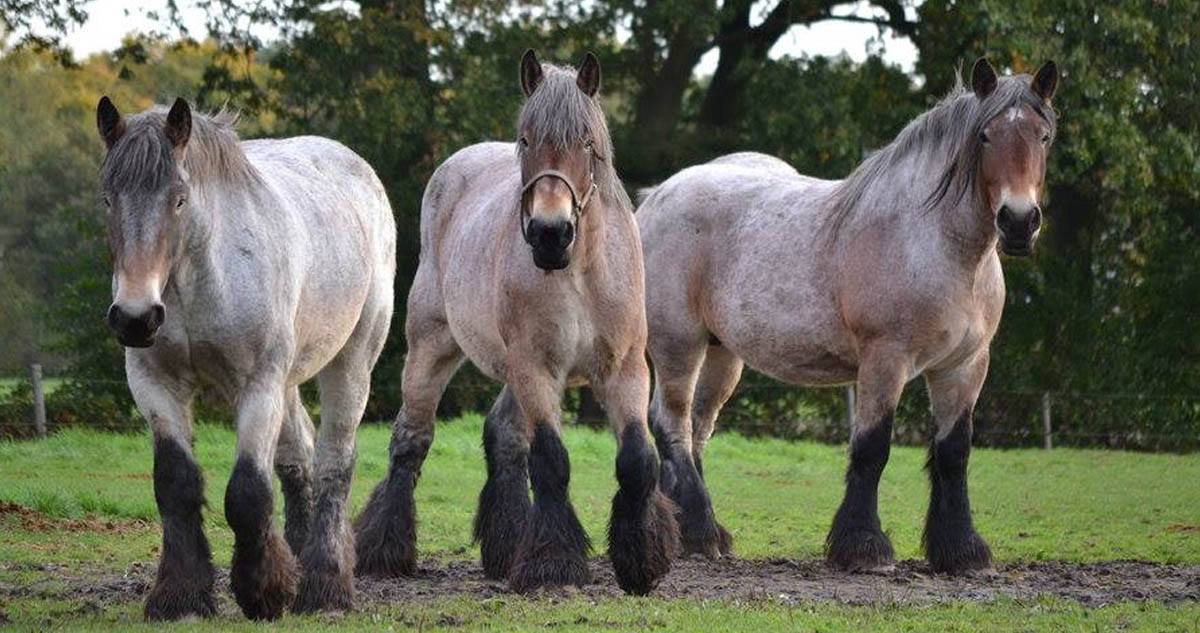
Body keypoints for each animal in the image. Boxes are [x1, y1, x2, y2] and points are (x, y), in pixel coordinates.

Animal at [95, 98, 393, 618]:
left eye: (179, 200)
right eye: (108, 199)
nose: (135, 317)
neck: (198, 280)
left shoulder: (258, 385)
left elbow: (248, 492)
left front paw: (262, 592)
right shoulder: (154, 384)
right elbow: (175, 484)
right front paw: (181, 596)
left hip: (352, 362)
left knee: (334, 460)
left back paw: (325, 585)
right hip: (290, 379)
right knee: (300, 457)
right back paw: (298, 558)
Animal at [350, 48, 681, 594]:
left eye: (586, 143)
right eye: (526, 140)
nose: (550, 233)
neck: (581, 273)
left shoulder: (624, 367)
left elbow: (637, 460)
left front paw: (641, 562)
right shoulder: (537, 367)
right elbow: (551, 460)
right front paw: (552, 563)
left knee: (503, 438)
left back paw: (505, 546)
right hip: (432, 347)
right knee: (411, 439)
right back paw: (384, 550)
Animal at [638, 60, 1060, 573]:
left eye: (1044, 135)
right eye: (985, 135)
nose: (1018, 222)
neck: (936, 245)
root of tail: (657, 196)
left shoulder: (964, 366)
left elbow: (953, 453)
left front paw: (961, 549)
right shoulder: (886, 359)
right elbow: (872, 447)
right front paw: (863, 546)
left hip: (722, 354)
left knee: (698, 427)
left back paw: (695, 529)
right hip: (679, 344)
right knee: (672, 423)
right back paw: (699, 532)